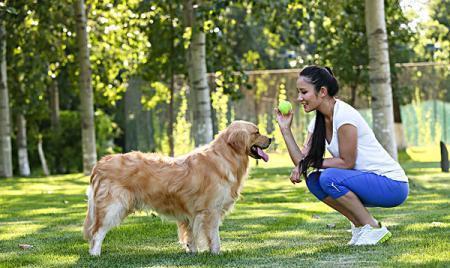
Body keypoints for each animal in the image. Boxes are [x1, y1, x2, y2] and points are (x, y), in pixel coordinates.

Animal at [83, 120, 270, 255]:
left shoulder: (191, 213)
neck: (226, 156)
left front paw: (192, 251)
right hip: (113, 207)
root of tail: (99, 164)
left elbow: (190, 235)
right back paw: (95, 254)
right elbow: (214, 236)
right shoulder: (210, 210)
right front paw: (217, 253)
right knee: (97, 232)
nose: (271, 139)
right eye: (256, 132)